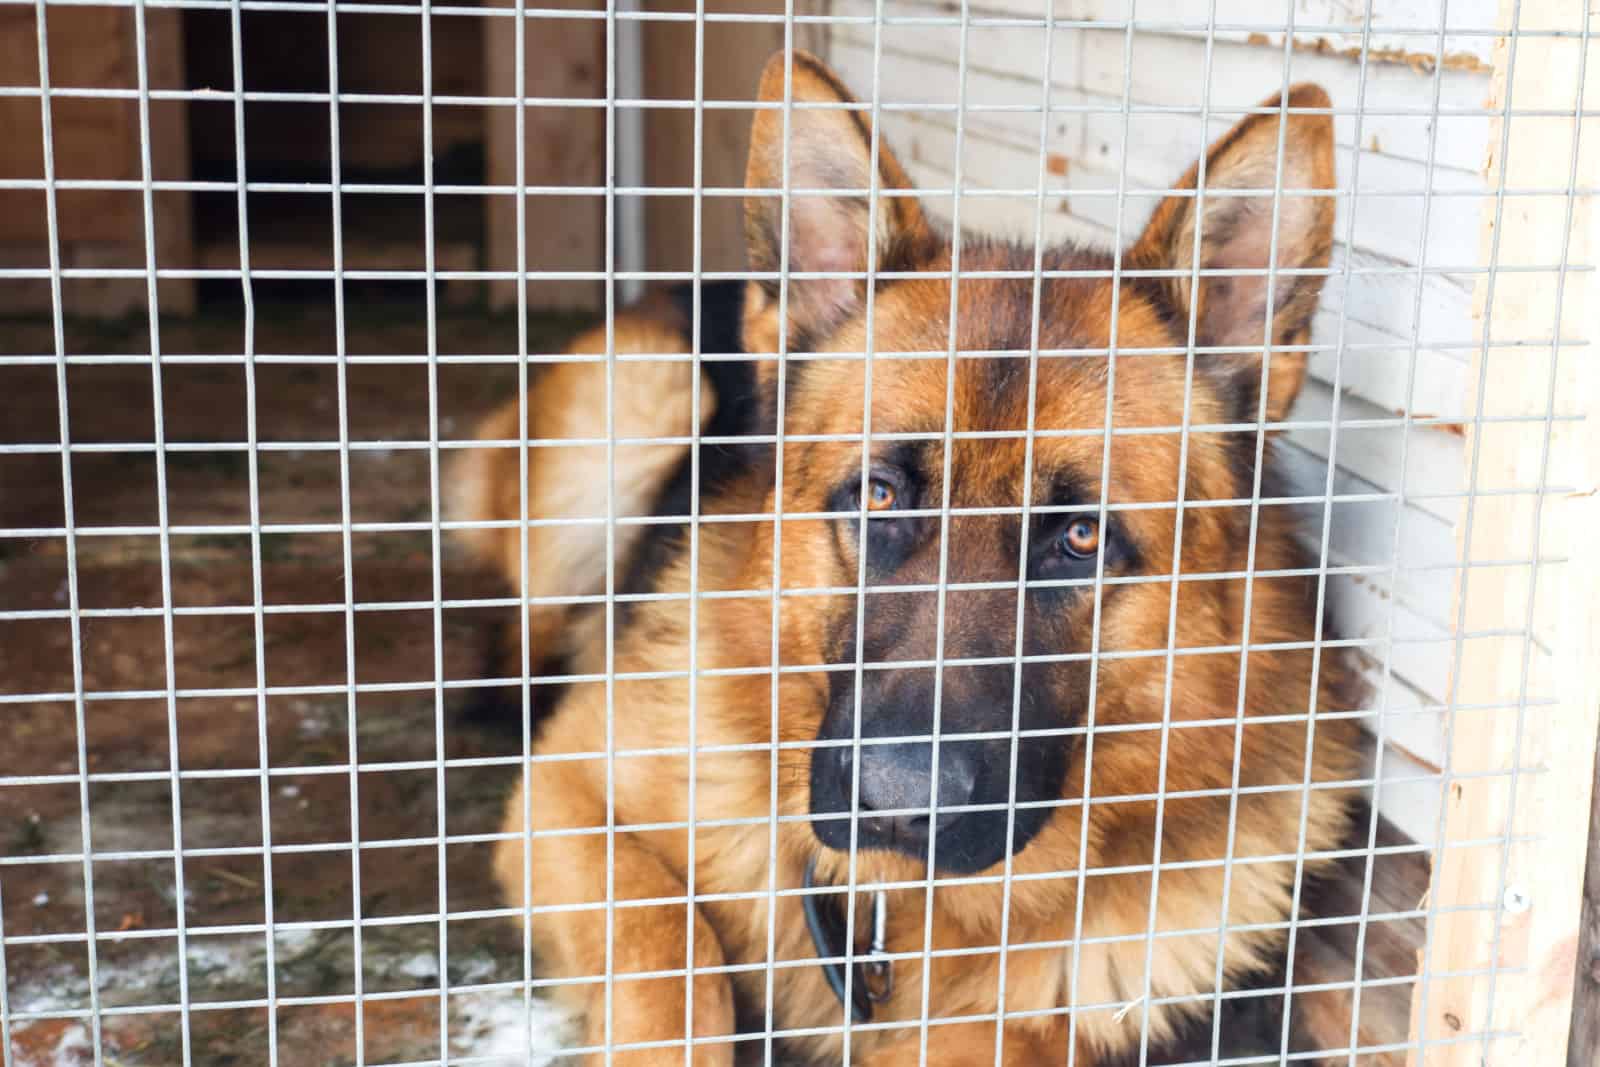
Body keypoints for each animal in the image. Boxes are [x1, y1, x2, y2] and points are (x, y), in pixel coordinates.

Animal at [460, 49, 1363, 1067]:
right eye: (880, 495)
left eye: (1080, 538)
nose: (895, 800)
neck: (903, 904)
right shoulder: (565, 796)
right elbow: (673, 948)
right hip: (640, 394)